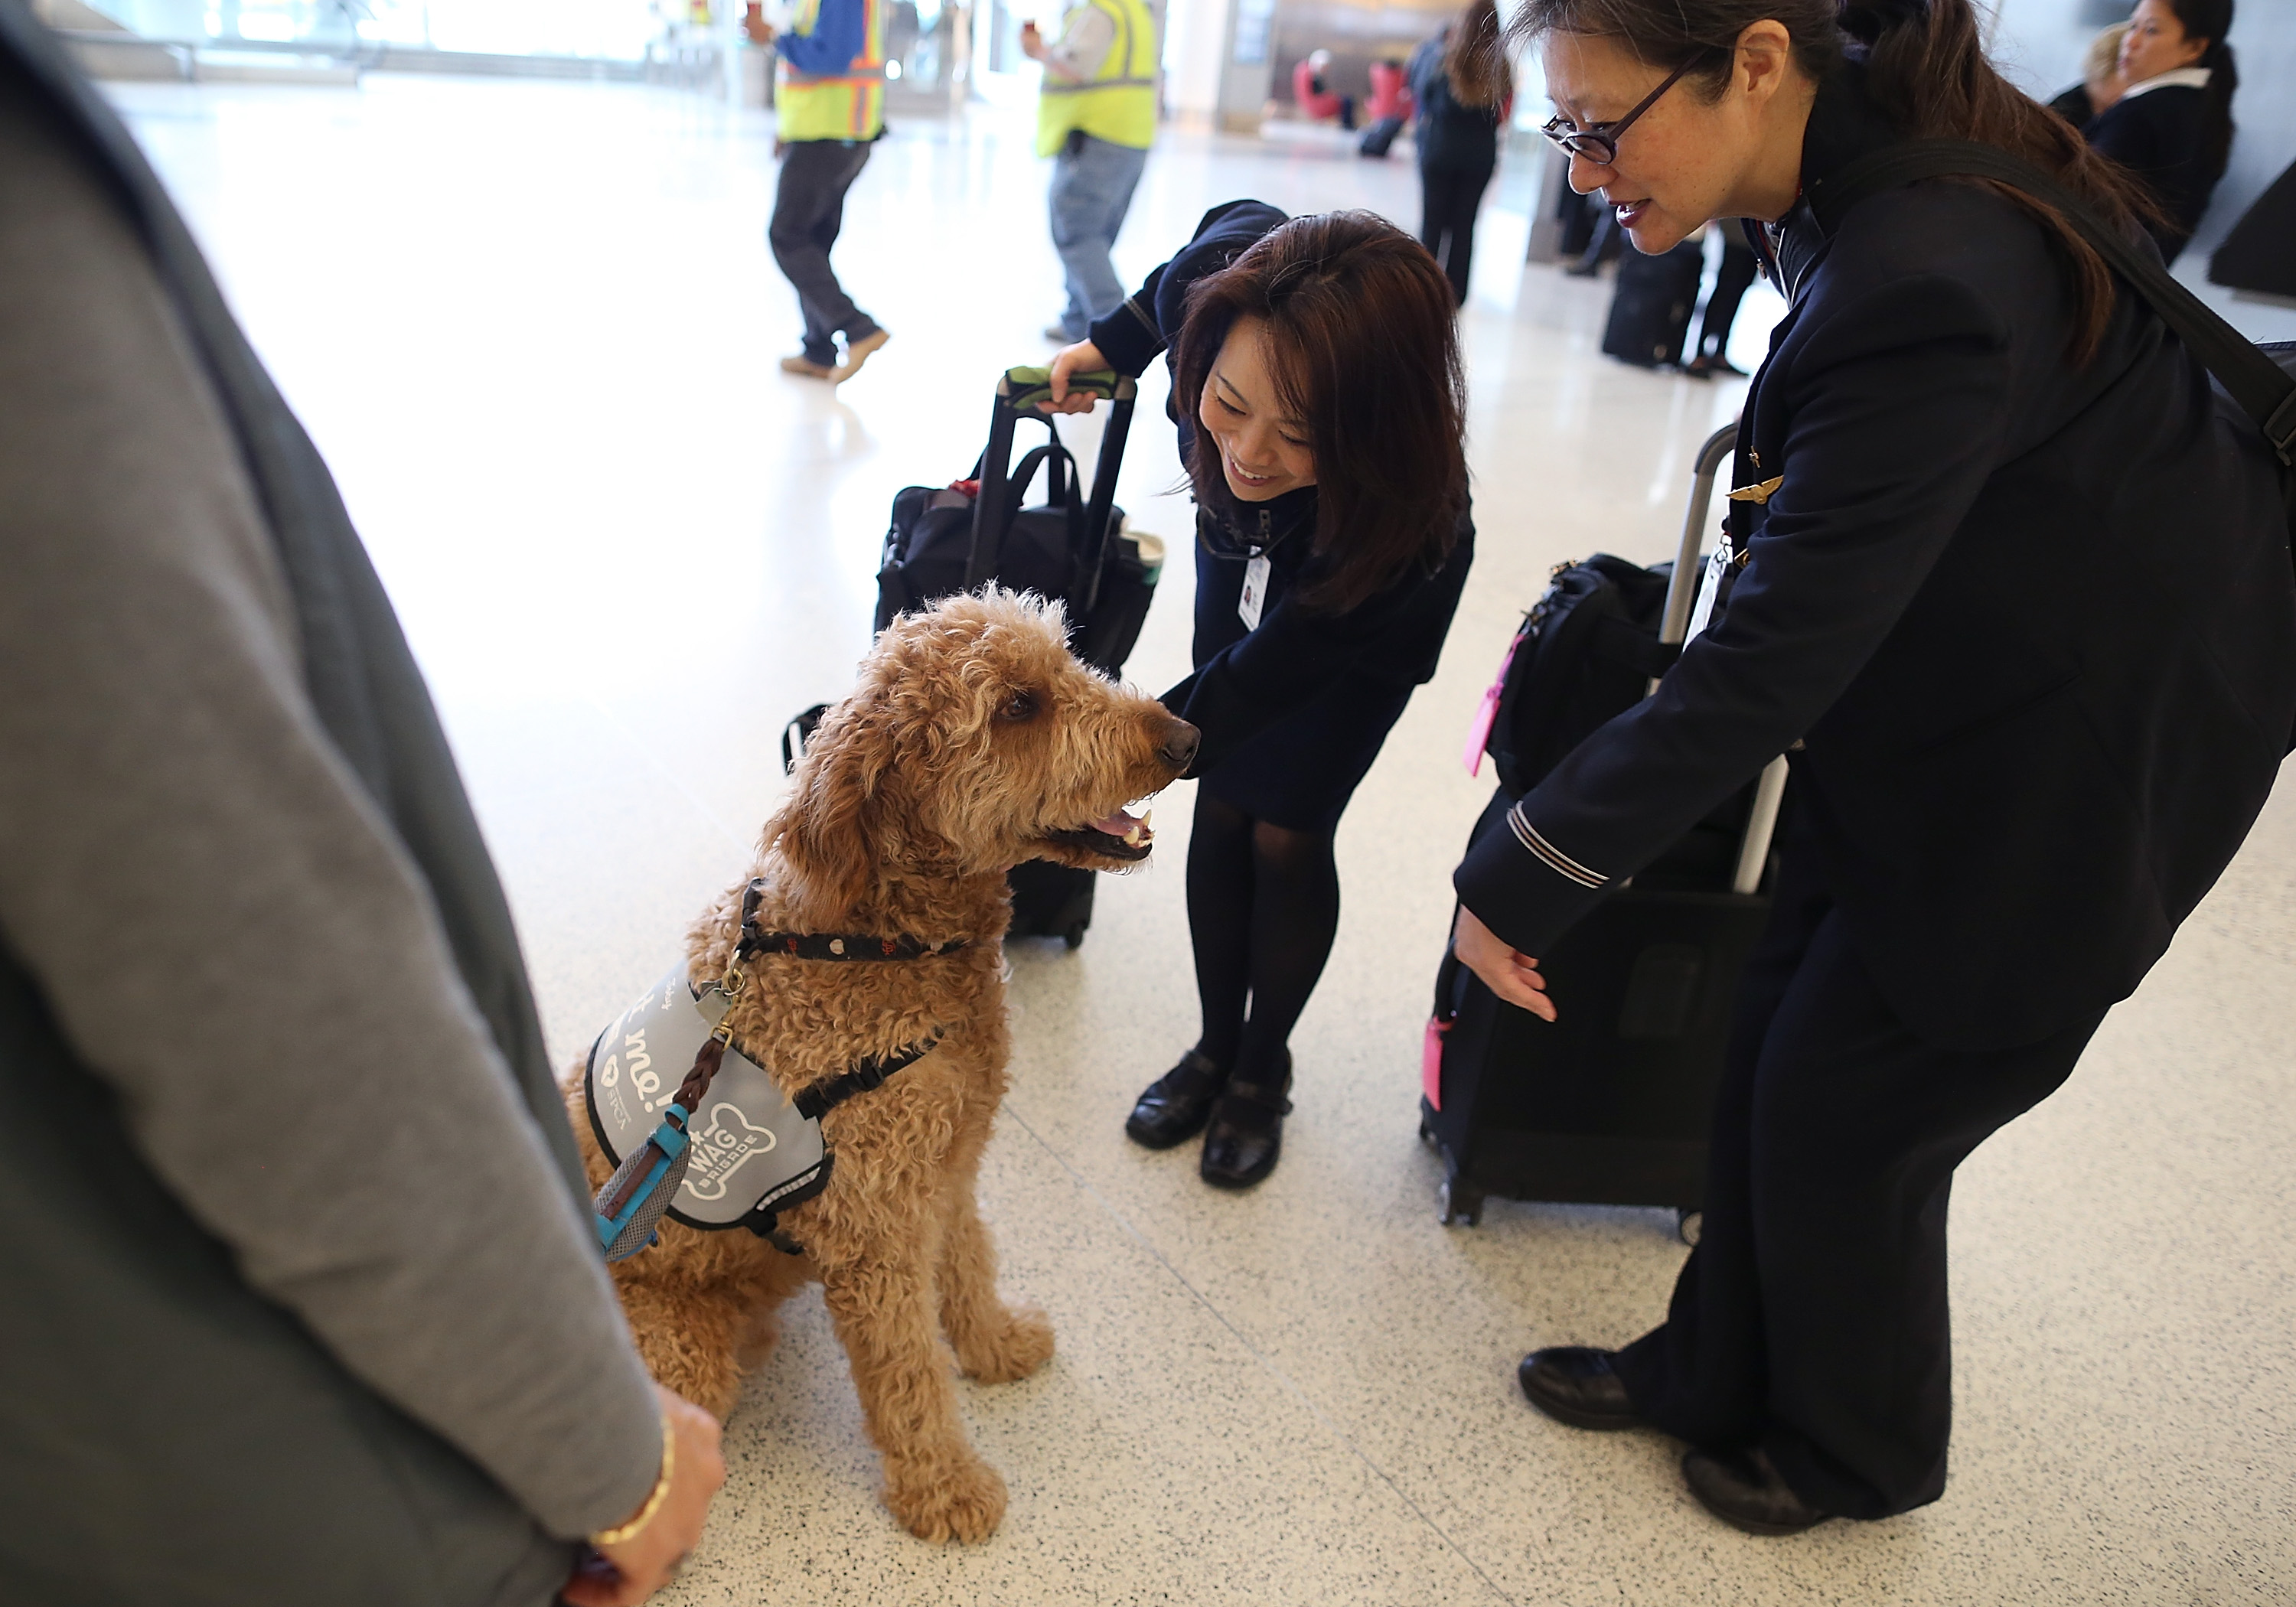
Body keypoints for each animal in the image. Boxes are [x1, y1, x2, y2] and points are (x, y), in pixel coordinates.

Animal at [565, 592, 1194, 1543]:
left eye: (1068, 658)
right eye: (1018, 706)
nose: (1188, 737)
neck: (872, 940)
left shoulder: (948, 1170)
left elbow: (969, 1267)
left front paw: (996, 1345)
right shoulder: (875, 1228)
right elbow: (909, 1371)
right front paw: (946, 1488)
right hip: (676, 1355)